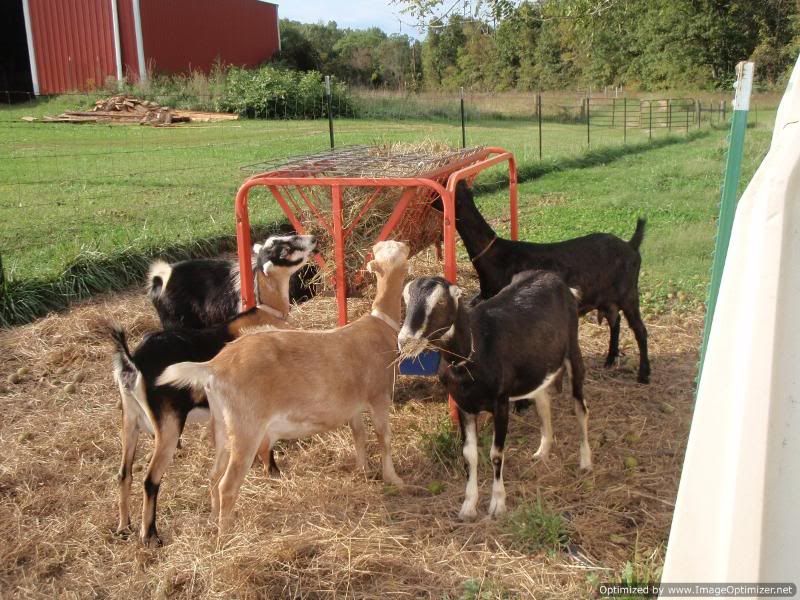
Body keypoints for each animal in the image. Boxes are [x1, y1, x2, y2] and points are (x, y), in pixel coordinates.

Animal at [157, 241, 409, 537]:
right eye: (397, 253)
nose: (405, 243)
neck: (379, 325)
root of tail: (214, 366)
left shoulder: (353, 406)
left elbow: (359, 435)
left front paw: (363, 470)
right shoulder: (379, 395)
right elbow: (384, 438)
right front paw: (393, 478)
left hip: (221, 427)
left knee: (213, 476)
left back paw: (213, 520)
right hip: (246, 429)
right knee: (227, 485)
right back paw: (226, 533)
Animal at [398, 271, 590, 520]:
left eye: (440, 302)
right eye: (406, 299)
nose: (405, 341)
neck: (474, 350)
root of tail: (558, 281)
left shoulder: (500, 404)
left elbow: (496, 453)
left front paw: (498, 503)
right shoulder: (463, 406)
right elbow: (469, 454)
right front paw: (468, 506)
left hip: (573, 352)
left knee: (580, 407)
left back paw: (585, 461)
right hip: (538, 365)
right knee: (543, 402)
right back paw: (542, 452)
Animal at [434, 181, 649, 383]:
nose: (431, 198)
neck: (495, 255)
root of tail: (631, 245)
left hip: (629, 293)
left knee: (639, 330)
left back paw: (643, 374)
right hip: (607, 297)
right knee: (615, 320)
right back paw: (610, 359)